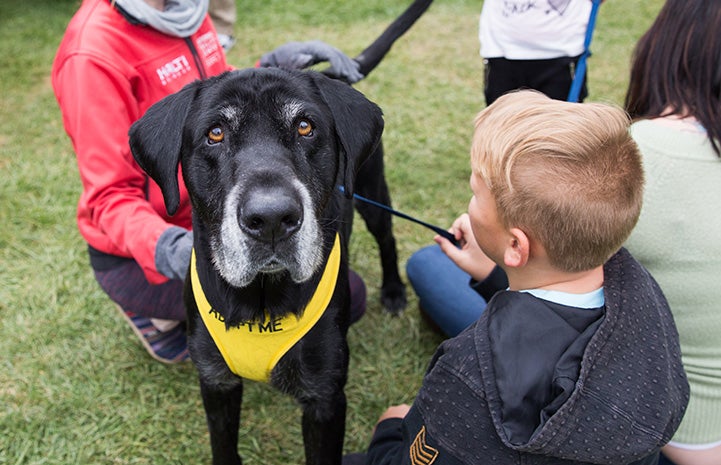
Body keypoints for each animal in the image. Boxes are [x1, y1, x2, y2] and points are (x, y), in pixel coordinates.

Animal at [129, 68, 402, 464]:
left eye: (305, 126)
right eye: (215, 133)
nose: (272, 218)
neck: (261, 300)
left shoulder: (325, 398)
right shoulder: (215, 381)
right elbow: (223, 445)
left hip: (371, 190)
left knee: (387, 239)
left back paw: (394, 292)